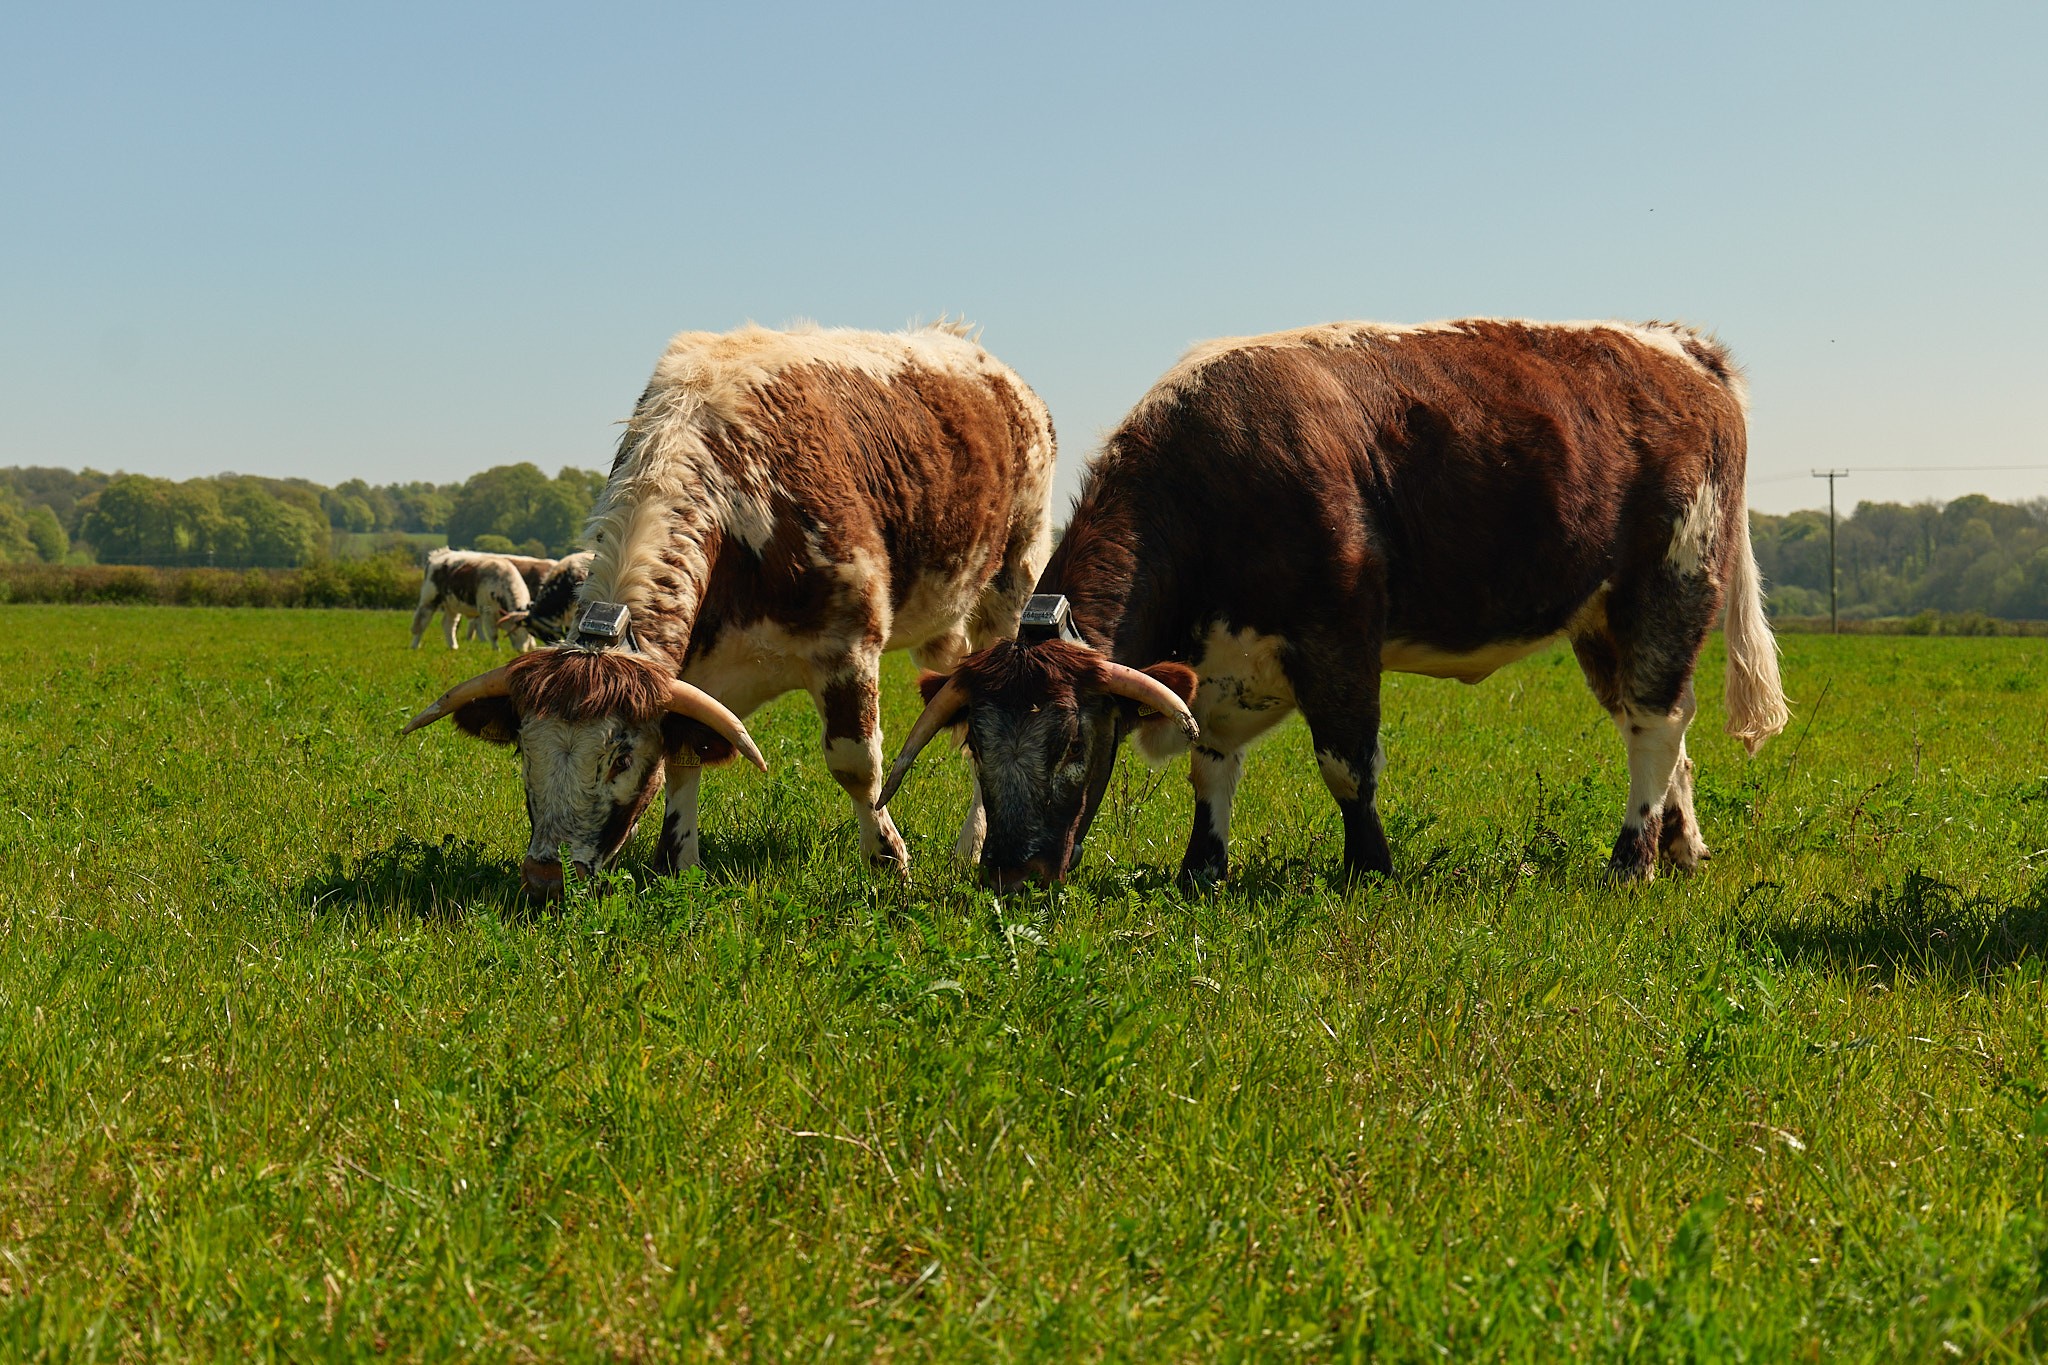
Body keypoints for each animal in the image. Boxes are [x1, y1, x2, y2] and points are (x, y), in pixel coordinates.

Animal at [410, 549, 555, 651]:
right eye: (513, 633)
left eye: (529, 634)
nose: (522, 650)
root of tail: (441, 554)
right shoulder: (487, 611)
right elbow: (493, 634)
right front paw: (496, 650)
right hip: (429, 599)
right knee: (422, 621)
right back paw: (415, 645)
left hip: (452, 604)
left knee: (449, 624)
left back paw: (453, 647)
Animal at [878, 318, 1790, 891]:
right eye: (976, 745)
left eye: (1072, 741)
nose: (1014, 874)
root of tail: (1677, 345)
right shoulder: (1218, 664)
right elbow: (1212, 764)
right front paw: (1202, 867)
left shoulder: (1339, 634)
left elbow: (1347, 764)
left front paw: (1369, 864)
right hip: (1600, 618)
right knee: (1664, 726)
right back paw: (1681, 846)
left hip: (1669, 583)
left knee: (1655, 723)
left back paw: (1632, 858)